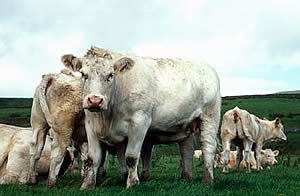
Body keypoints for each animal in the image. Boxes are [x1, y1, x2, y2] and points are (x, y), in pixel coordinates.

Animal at [63, 46, 223, 188]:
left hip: (210, 116)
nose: (95, 100)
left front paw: (132, 183)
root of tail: (206, 66)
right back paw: (186, 177)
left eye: (110, 75)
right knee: (187, 150)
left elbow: (131, 156)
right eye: (83, 74)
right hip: (186, 126)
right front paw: (87, 185)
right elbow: (93, 158)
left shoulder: (139, 122)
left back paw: (208, 180)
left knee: (208, 147)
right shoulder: (91, 125)